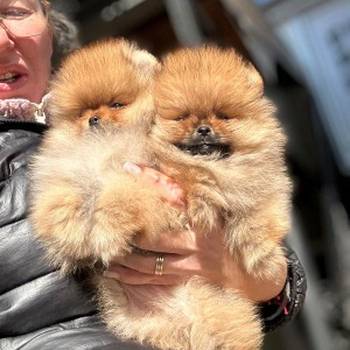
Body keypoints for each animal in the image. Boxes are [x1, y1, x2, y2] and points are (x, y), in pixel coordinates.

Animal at [30, 40, 290, 348]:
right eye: (81, 112)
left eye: (116, 104)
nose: (93, 119)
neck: (106, 148)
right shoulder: (72, 171)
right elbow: (59, 199)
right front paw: (69, 235)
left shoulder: (141, 179)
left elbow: (118, 198)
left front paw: (106, 233)